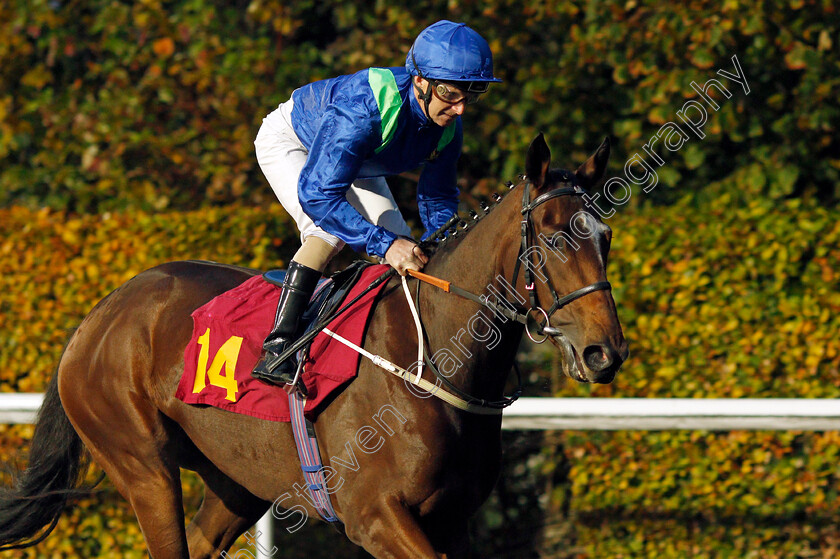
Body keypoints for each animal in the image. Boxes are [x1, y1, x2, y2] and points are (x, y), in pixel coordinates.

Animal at [0, 137, 628, 559]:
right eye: (553, 237)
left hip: (236, 481)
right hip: (141, 463)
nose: (605, 352)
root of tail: (102, 311)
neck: (432, 363)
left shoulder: (452, 521)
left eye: (605, 235)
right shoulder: (374, 515)